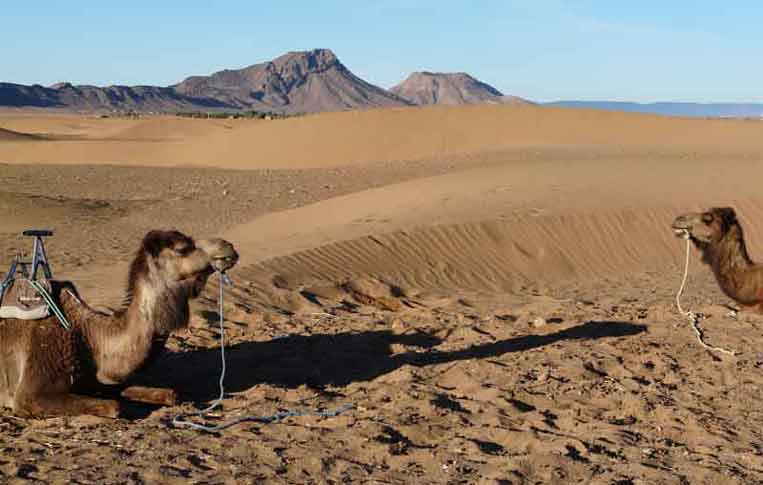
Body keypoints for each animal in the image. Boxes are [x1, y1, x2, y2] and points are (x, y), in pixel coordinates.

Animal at [0, 230, 239, 416]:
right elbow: (115, 407)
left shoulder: (91, 379)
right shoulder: (30, 394)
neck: (86, 334)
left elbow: (169, 394)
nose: (229, 247)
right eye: (182, 249)